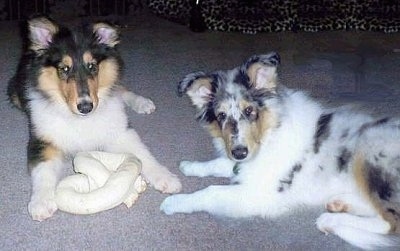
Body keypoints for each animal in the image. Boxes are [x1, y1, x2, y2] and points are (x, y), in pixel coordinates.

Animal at [7, 16, 181, 220]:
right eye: (64, 69)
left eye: (92, 66)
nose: (85, 107)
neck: (80, 119)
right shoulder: (42, 140)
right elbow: (43, 172)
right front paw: (41, 203)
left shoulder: (120, 131)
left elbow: (143, 154)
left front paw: (166, 178)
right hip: (15, 93)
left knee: (119, 88)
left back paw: (142, 102)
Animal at [161, 52, 400, 249]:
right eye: (221, 116)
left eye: (250, 110)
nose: (240, 153)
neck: (269, 133)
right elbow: (220, 163)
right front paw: (190, 166)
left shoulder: (259, 193)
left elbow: (211, 191)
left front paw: (175, 202)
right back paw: (340, 203)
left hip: (369, 150)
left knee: (392, 223)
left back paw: (330, 220)